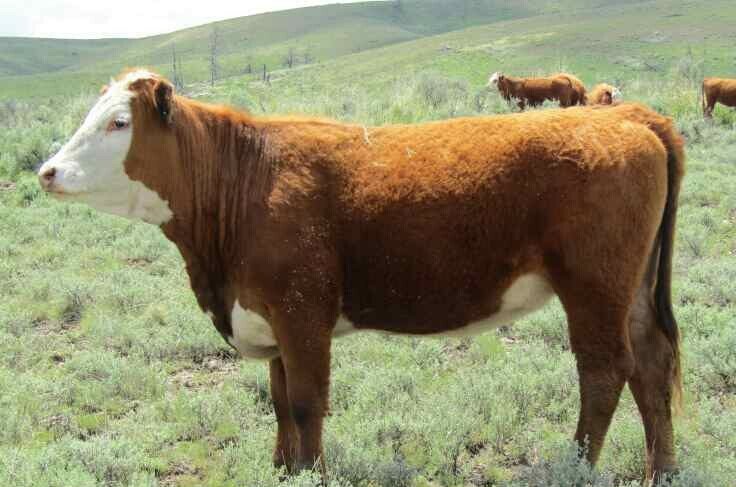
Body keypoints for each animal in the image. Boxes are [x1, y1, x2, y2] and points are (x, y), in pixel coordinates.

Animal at [38, 69, 685, 483]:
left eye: (118, 122)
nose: (47, 171)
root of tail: (630, 116)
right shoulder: (270, 316)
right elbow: (278, 401)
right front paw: (283, 470)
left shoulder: (302, 312)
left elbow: (305, 402)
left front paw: (311, 473)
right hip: (631, 289)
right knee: (651, 365)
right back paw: (662, 471)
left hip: (593, 285)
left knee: (604, 371)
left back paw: (575, 466)